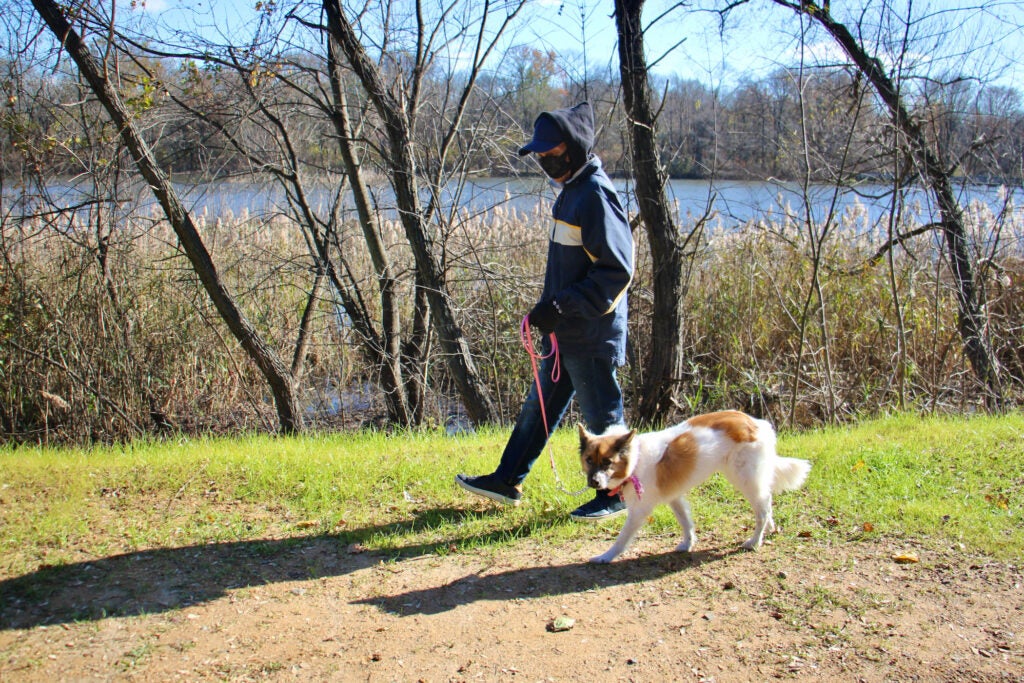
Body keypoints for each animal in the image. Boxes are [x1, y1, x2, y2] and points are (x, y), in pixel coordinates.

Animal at [577, 411, 806, 561]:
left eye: (607, 462)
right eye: (589, 460)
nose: (593, 482)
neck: (635, 458)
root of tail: (756, 423)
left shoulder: (639, 511)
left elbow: (622, 538)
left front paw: (606, 556)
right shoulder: (674, 497)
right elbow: (685, 521)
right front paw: (688, 544)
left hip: (745, 479)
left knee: (763, 509)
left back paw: (755, 541)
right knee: (766, 503)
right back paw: (770, 528)